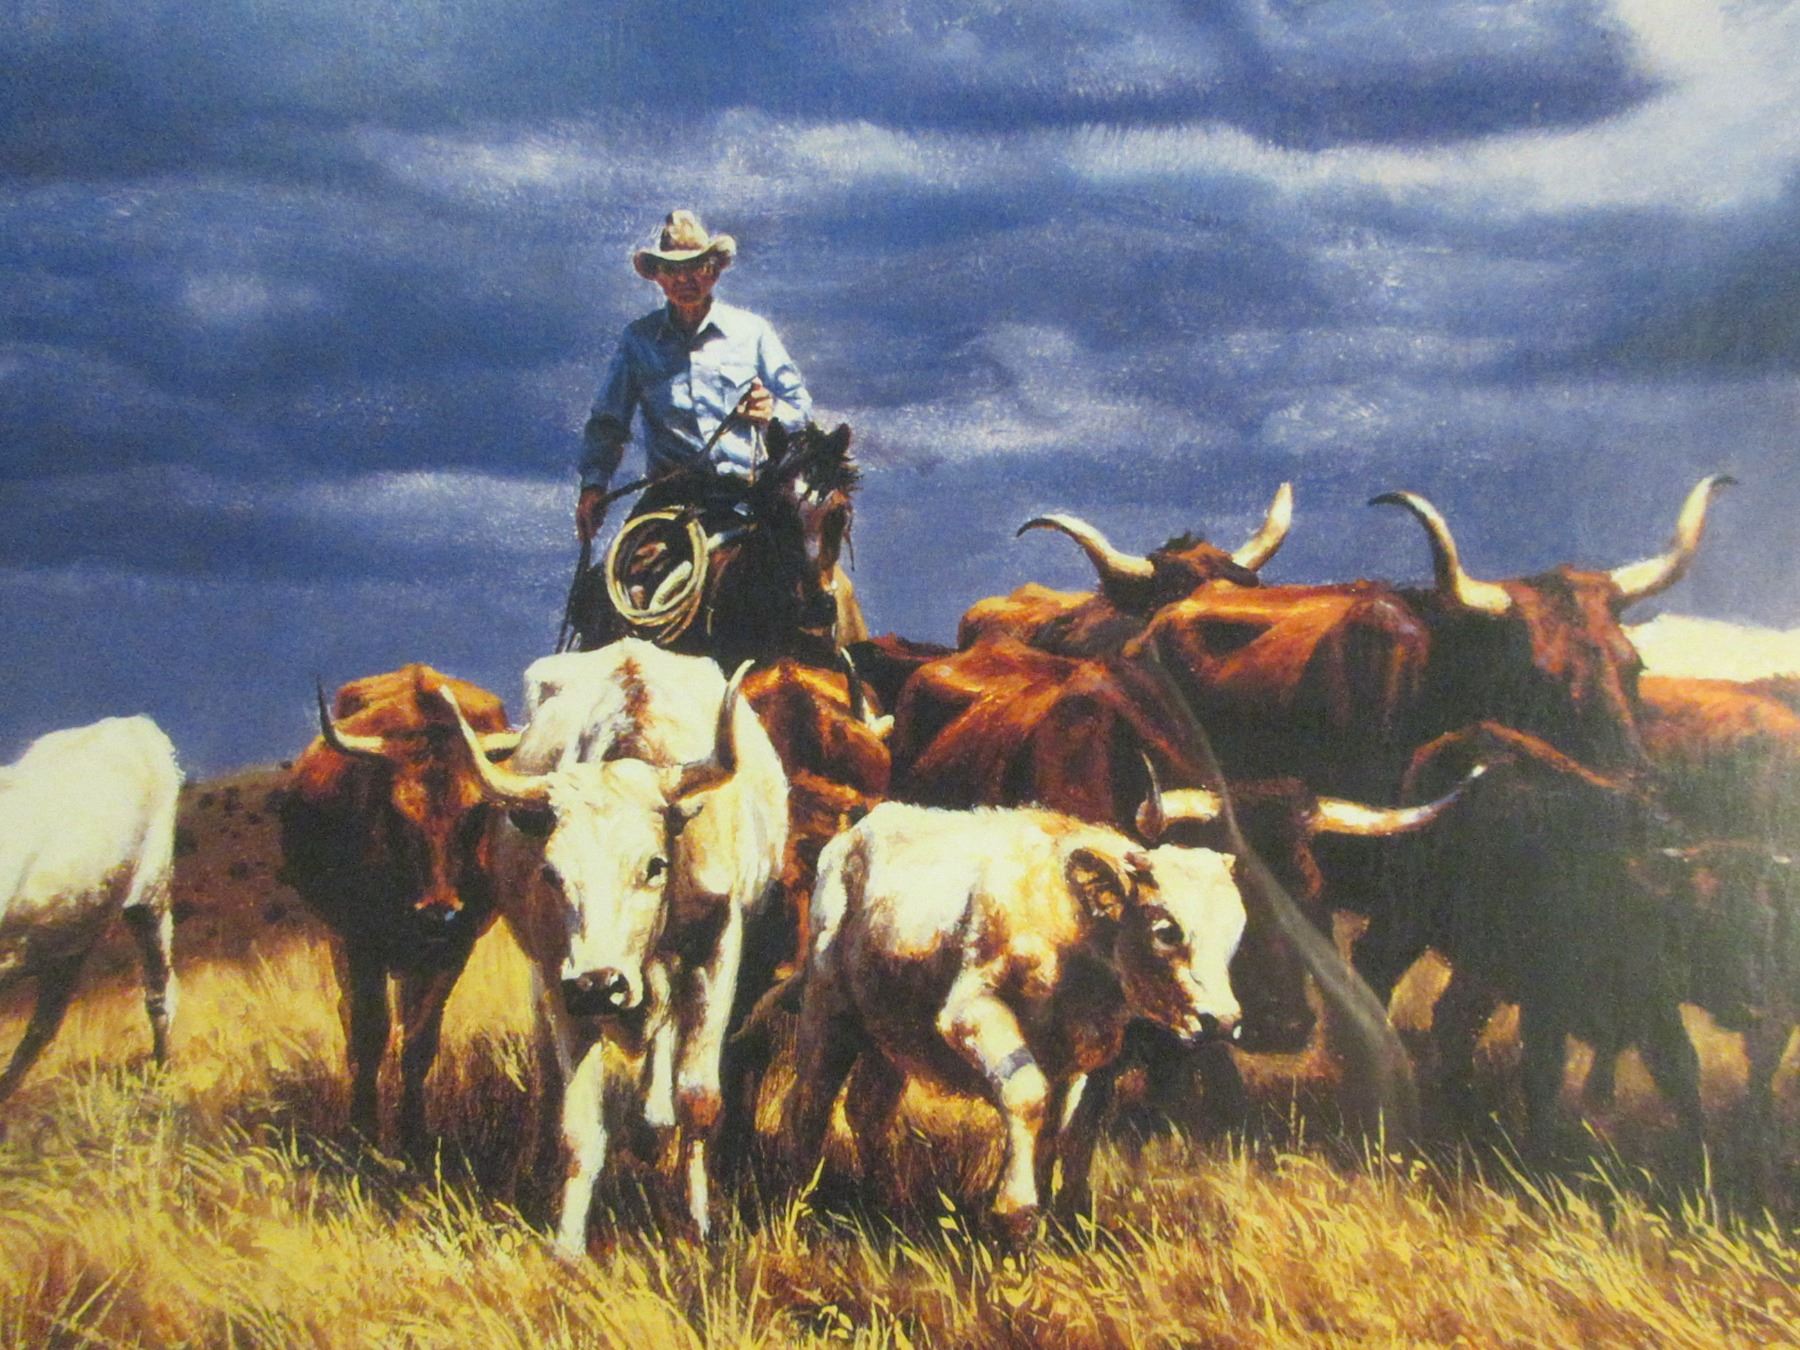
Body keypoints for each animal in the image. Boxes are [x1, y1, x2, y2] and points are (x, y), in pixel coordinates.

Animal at [0, 716, 181, 1102]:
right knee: (44, 1025)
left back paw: (162, 1079)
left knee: (159, 994)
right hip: (71, 935)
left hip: (152, 896)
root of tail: (132, 721)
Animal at [278, 664, 520, 1158]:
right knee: (350, 1016)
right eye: (394, 813)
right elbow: (370, 1031)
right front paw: (363, 1133)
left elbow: (419, 1040)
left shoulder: (453, 950)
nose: (438, 913)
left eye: (476, 813)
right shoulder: (358, 942)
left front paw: (413, 1139)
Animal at [437, 639, 786, 1252]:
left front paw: (698, 1225)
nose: (600, 985)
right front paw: (568, 1245)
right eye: (552, 873)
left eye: (654, 865)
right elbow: (579, 1125)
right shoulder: (560, 974)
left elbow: (699, 1098)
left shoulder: (717, 948)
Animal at [779, 794, 1248, 1237]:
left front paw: (1065, 1222)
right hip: (828, 1011)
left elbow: (1070, 1130)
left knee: (868, 1108)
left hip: (893, 1032)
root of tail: (859, 831)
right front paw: (1014, 1212)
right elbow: (1026, 1095)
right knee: (810, 1103)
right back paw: (798, 1202)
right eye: (1167, 930)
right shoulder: (971, 1012)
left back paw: (889, 1203)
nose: (1222, 1020)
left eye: (1236, 932)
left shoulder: (1084, 1059)